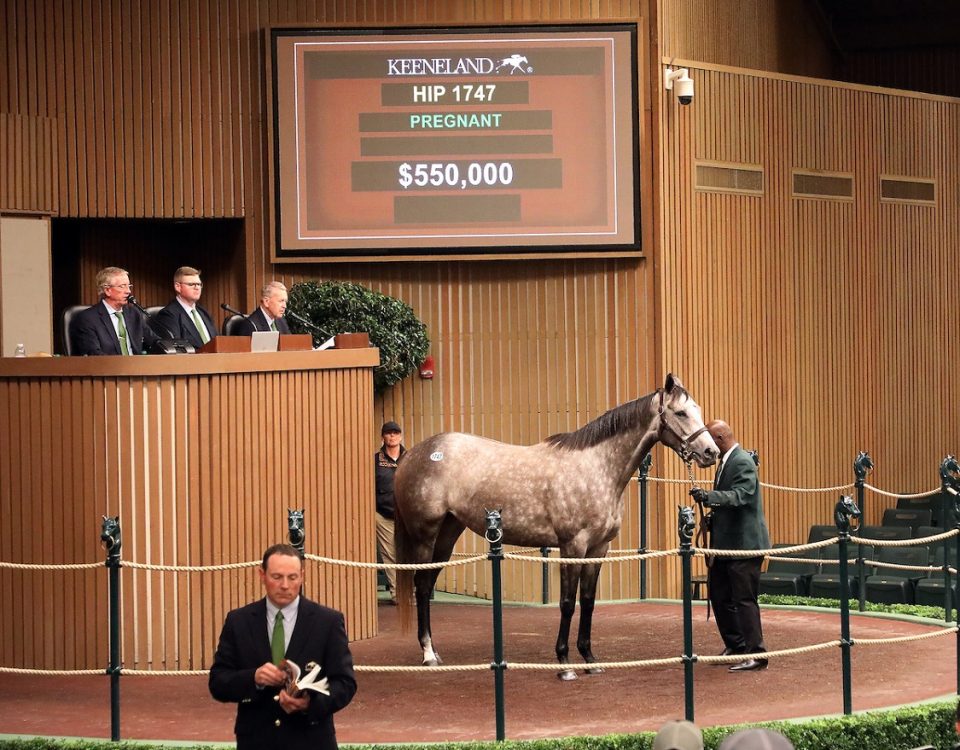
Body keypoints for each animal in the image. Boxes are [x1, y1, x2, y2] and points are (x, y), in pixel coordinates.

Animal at [394, 376, 716, 680]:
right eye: (681, 412)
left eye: (698, 409)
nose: (710, 452)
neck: (596, 467)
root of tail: (412, 455)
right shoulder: (572, 546)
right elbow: (567, 603)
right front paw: (564, 663)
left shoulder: (599, 548)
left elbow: (588, 601)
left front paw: (589, 659)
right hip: (425, 535)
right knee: (421, 586)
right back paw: (427, 654)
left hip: (448, 534)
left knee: (427, 584)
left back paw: (434, 651)